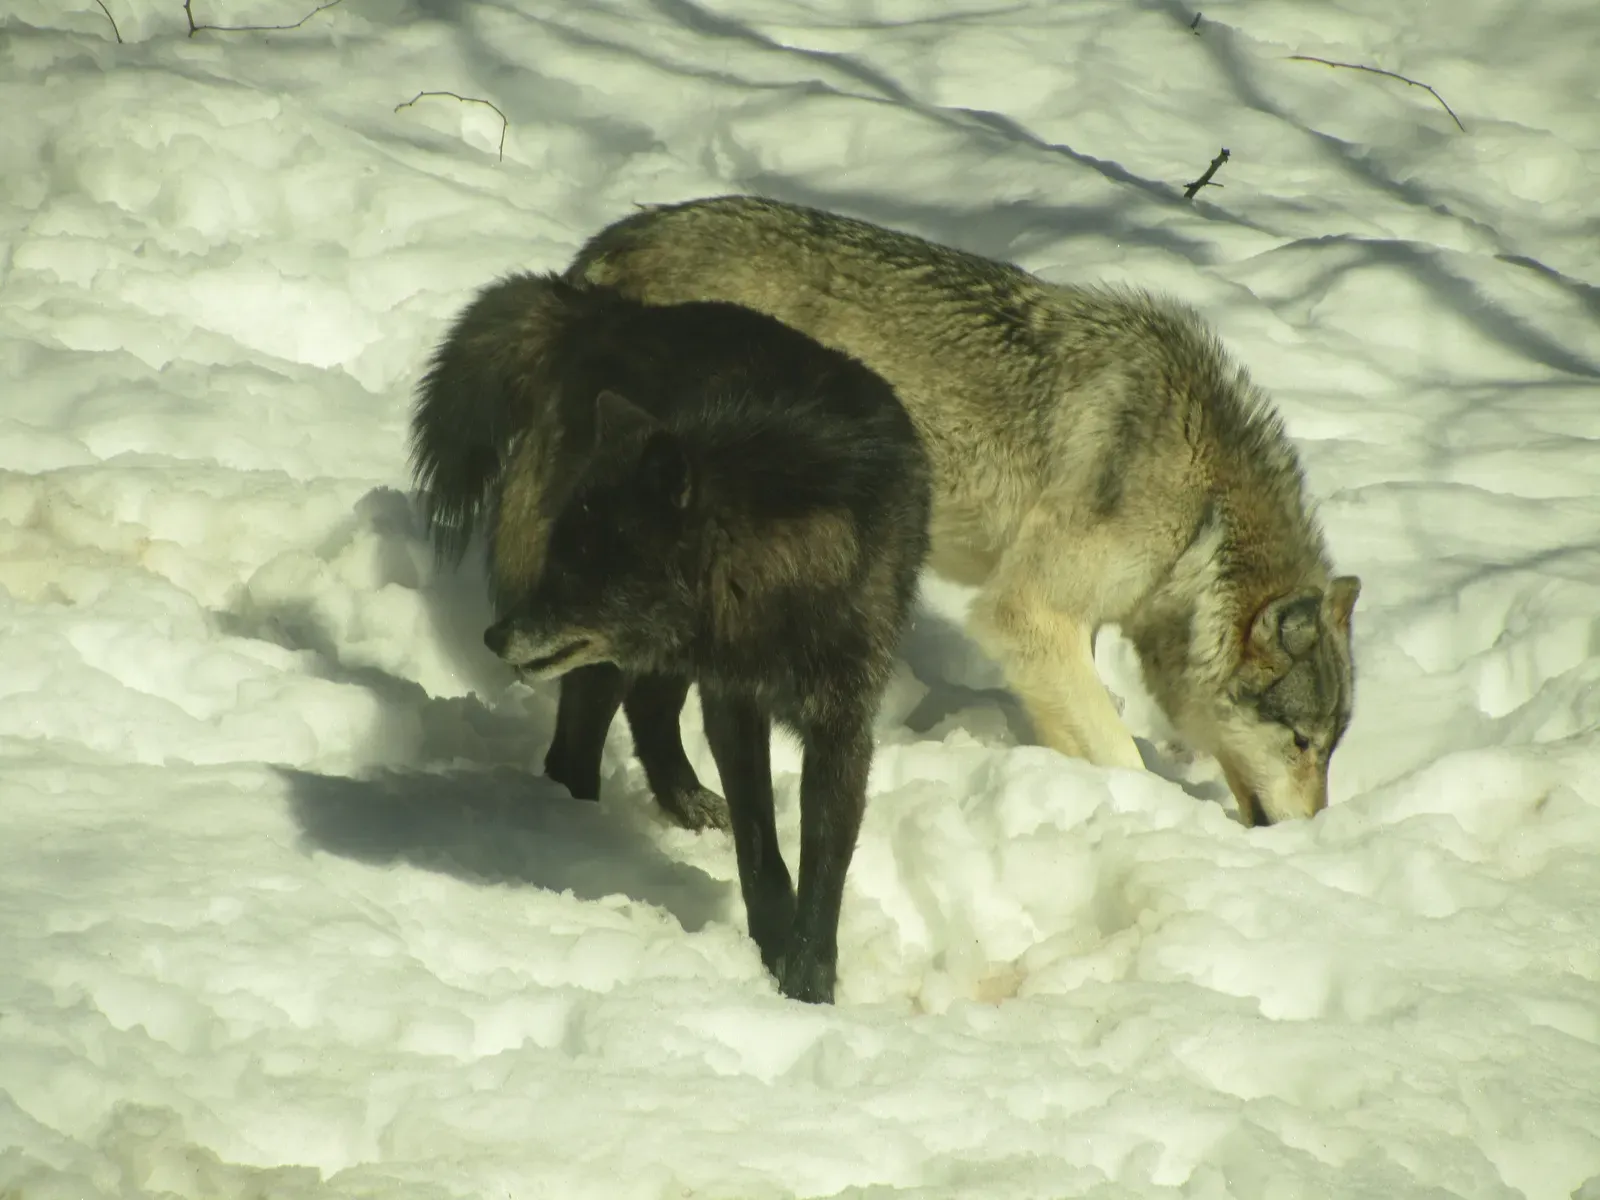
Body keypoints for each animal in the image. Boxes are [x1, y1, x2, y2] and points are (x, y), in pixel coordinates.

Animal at [409, 271, 931, 1003]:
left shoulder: (842, 724)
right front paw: (772, 957)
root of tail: (602, 309)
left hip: (655, 653)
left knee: (645, 709)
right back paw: (577, 827)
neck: (783, 575)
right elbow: (761, 853)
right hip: (622, 658)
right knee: (579, 742)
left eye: (581, 572)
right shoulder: (736, 700)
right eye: (558, 561)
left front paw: (808, 983)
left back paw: (678, 805)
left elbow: (825, 867)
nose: (495, 636)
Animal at [566, 195, 1360, 827]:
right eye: (1301, 743)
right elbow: (1119, 752)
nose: (1311, 833)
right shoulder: (1025, 611)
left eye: (1329, 749)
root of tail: (611, 243)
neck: (1203, 513)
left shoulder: (1060, 634)